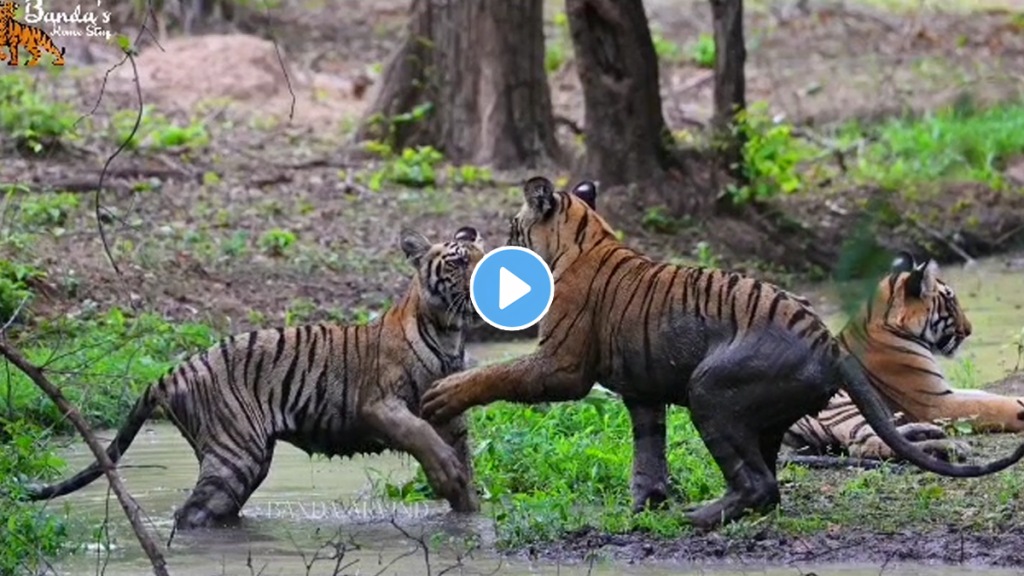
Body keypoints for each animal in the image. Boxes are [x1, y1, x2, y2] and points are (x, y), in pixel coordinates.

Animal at [23, 225, 487, 528]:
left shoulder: (451, 416)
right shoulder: (378, 404)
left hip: (244, 461)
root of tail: (173, 371)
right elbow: (419, 434)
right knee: (189, 514)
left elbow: (462, 464)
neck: (449, 332)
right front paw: (446, 474)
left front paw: (467, 508)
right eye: (459, 261)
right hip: (236, 455)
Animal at [782, 251, 1024, 461]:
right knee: (868, 445)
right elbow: (992, 405)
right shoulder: (936, 403)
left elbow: (985, 394)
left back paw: (927, 432)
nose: (969, 330)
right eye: (950, 301)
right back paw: (949, 448)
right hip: (844, 401)